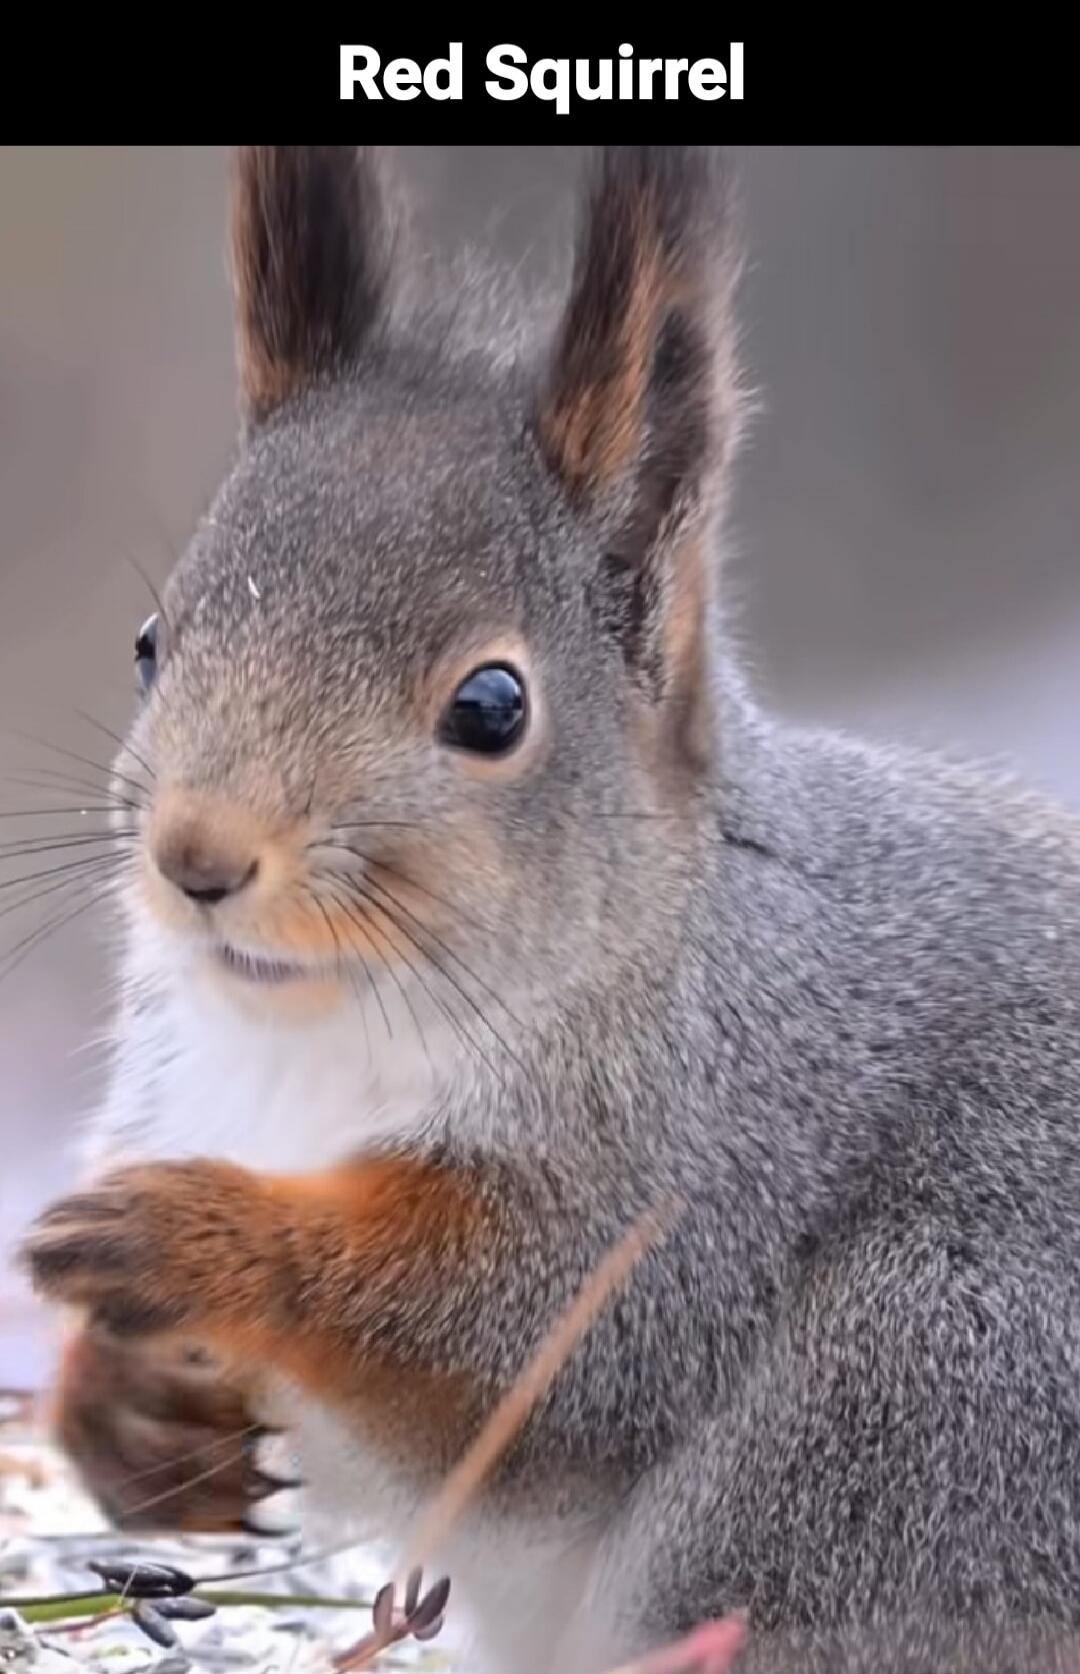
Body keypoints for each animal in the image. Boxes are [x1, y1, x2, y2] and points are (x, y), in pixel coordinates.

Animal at [18, 146, 1080, 1674]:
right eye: (154, 643)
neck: (320, 1036)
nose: (197, 857)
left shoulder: (712, 1161)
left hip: (903, 1394)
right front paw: (129, 1409)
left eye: (491, 706)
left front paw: (184, 1234)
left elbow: (516, 1338)